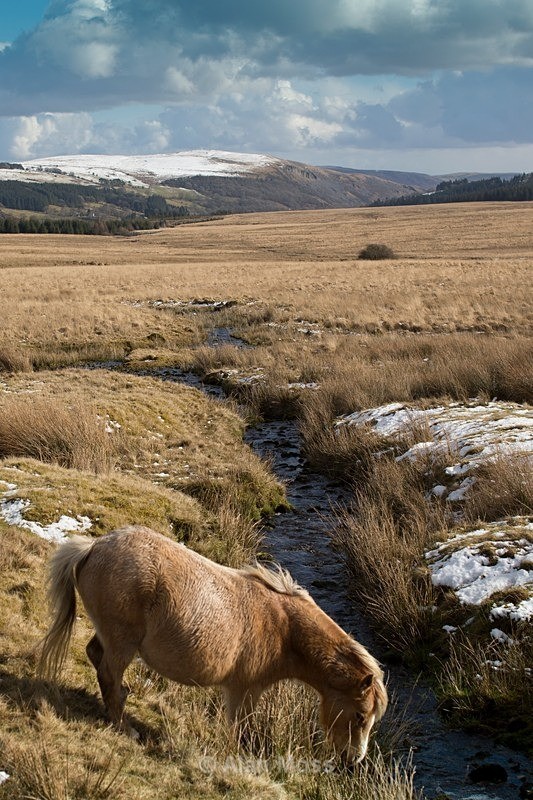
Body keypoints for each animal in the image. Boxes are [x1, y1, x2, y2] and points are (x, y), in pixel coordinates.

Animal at [38, 525, 387, 763]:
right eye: (360, 716)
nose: (353, 760)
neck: (283, 628)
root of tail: (94, 546)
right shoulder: (244, 689)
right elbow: (241, 729)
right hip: (122, 643)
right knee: (109, 673)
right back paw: (123, 726)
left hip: (112, 638)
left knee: (96, 657)